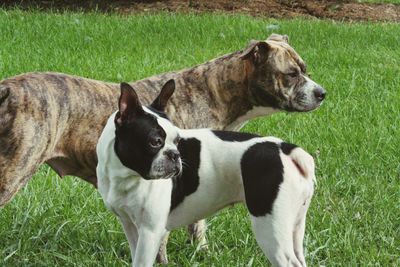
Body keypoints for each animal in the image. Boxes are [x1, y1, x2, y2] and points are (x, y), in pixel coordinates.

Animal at [96, 80, 316, 267]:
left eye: (177, 141)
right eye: (155, 142)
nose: (175, 155)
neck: (126, 174)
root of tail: (287, 150)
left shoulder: (150, 232)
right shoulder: (130, 226)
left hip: (269, 227)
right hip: (295, 224)